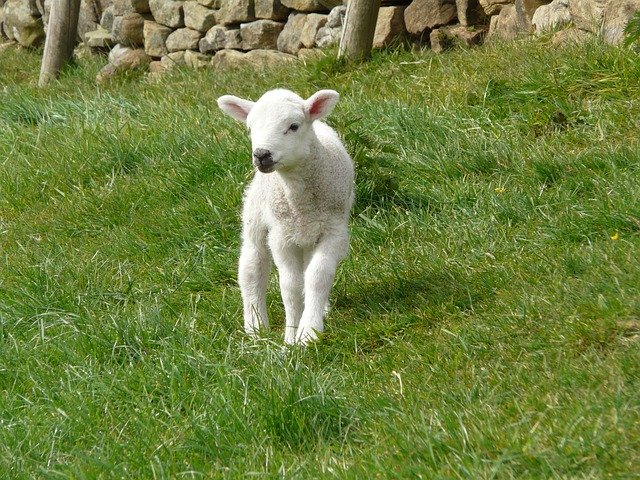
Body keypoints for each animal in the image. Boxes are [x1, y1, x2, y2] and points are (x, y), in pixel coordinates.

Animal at [218, 88, 352, 344]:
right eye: (250, 128)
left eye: (293, 126)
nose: (261, 154)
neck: (300, 202)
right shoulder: (281, 237)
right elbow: (290, 286)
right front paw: (291, 337)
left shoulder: (334, 232)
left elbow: (317, 276)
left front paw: (309, 330)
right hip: (256, 218)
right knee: (251, 268)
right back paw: (255, 328)